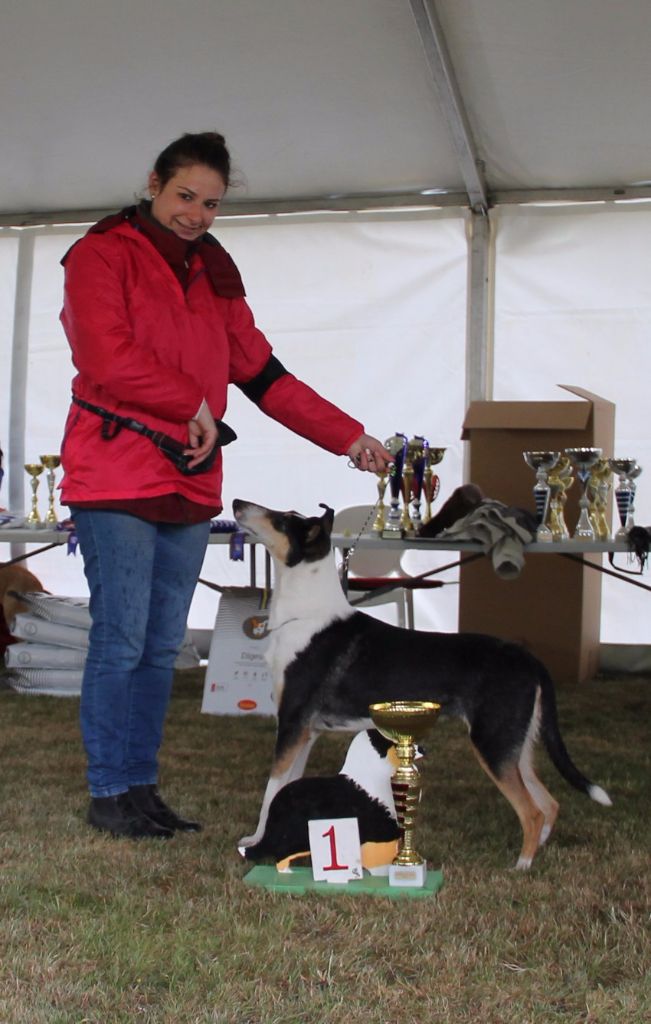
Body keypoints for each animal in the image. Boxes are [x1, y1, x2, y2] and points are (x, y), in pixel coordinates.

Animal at [232, 499, 610, 868]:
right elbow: (286, 785)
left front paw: (255, 843)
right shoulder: (307, 732)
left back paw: (521, 866)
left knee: (532, 811)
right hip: (515, 745)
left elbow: (272, 789)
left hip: (493, 741)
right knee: (549, 802)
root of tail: (529, 659)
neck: (304, 615)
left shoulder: (292, 724)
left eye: (281, 520)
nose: (236, 503)